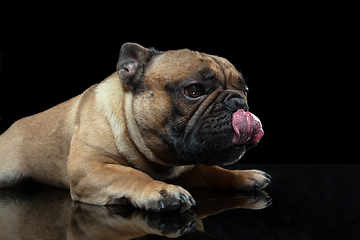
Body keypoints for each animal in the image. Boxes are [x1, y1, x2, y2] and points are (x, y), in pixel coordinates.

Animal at [0, 43, 270, 212]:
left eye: (245, 91)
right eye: (193, 91)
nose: (239, 102)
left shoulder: (187, 168)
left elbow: (212, 170)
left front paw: (243, 176)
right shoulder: (89, 167)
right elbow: (129, 174)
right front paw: (161, 190)